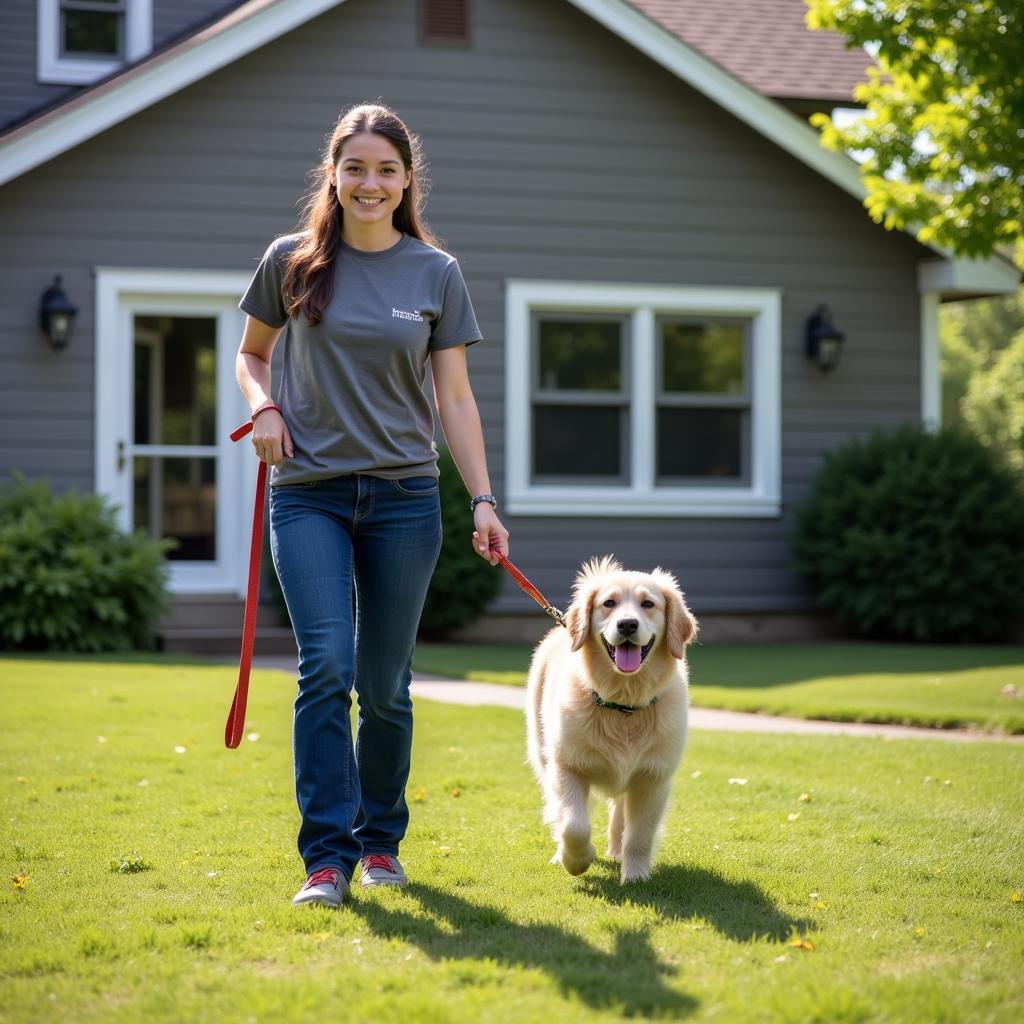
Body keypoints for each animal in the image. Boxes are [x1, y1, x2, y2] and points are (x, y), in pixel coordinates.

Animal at [528, 557, 696, 884]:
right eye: (609, 603)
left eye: (648, 604)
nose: (627, 624)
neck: (623, 705)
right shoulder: (566, 766)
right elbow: (573, 824)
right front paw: (577, 860)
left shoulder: (653, 778)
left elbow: (640, 835)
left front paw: (636, 876)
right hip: (543, 754)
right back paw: (560, 854)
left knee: (620, 813)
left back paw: (618, 852)